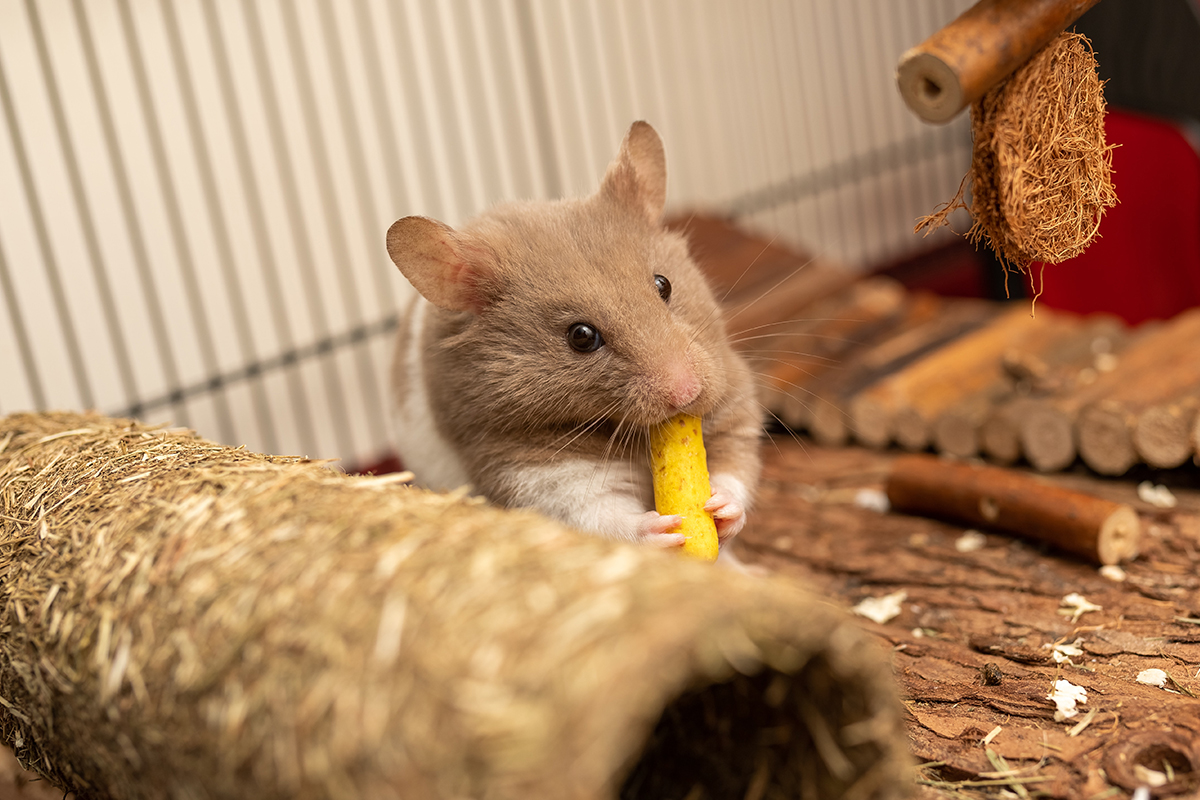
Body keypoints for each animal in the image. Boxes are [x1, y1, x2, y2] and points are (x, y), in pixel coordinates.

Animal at [385, 121, 762, 549]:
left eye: (663, 284)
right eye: (581, 337)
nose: (686, 394)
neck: (620, 428)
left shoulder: (733, 400)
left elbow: (736, 467)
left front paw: (720, 508)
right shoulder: (532, 469)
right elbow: (599, 512)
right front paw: (664, 530)